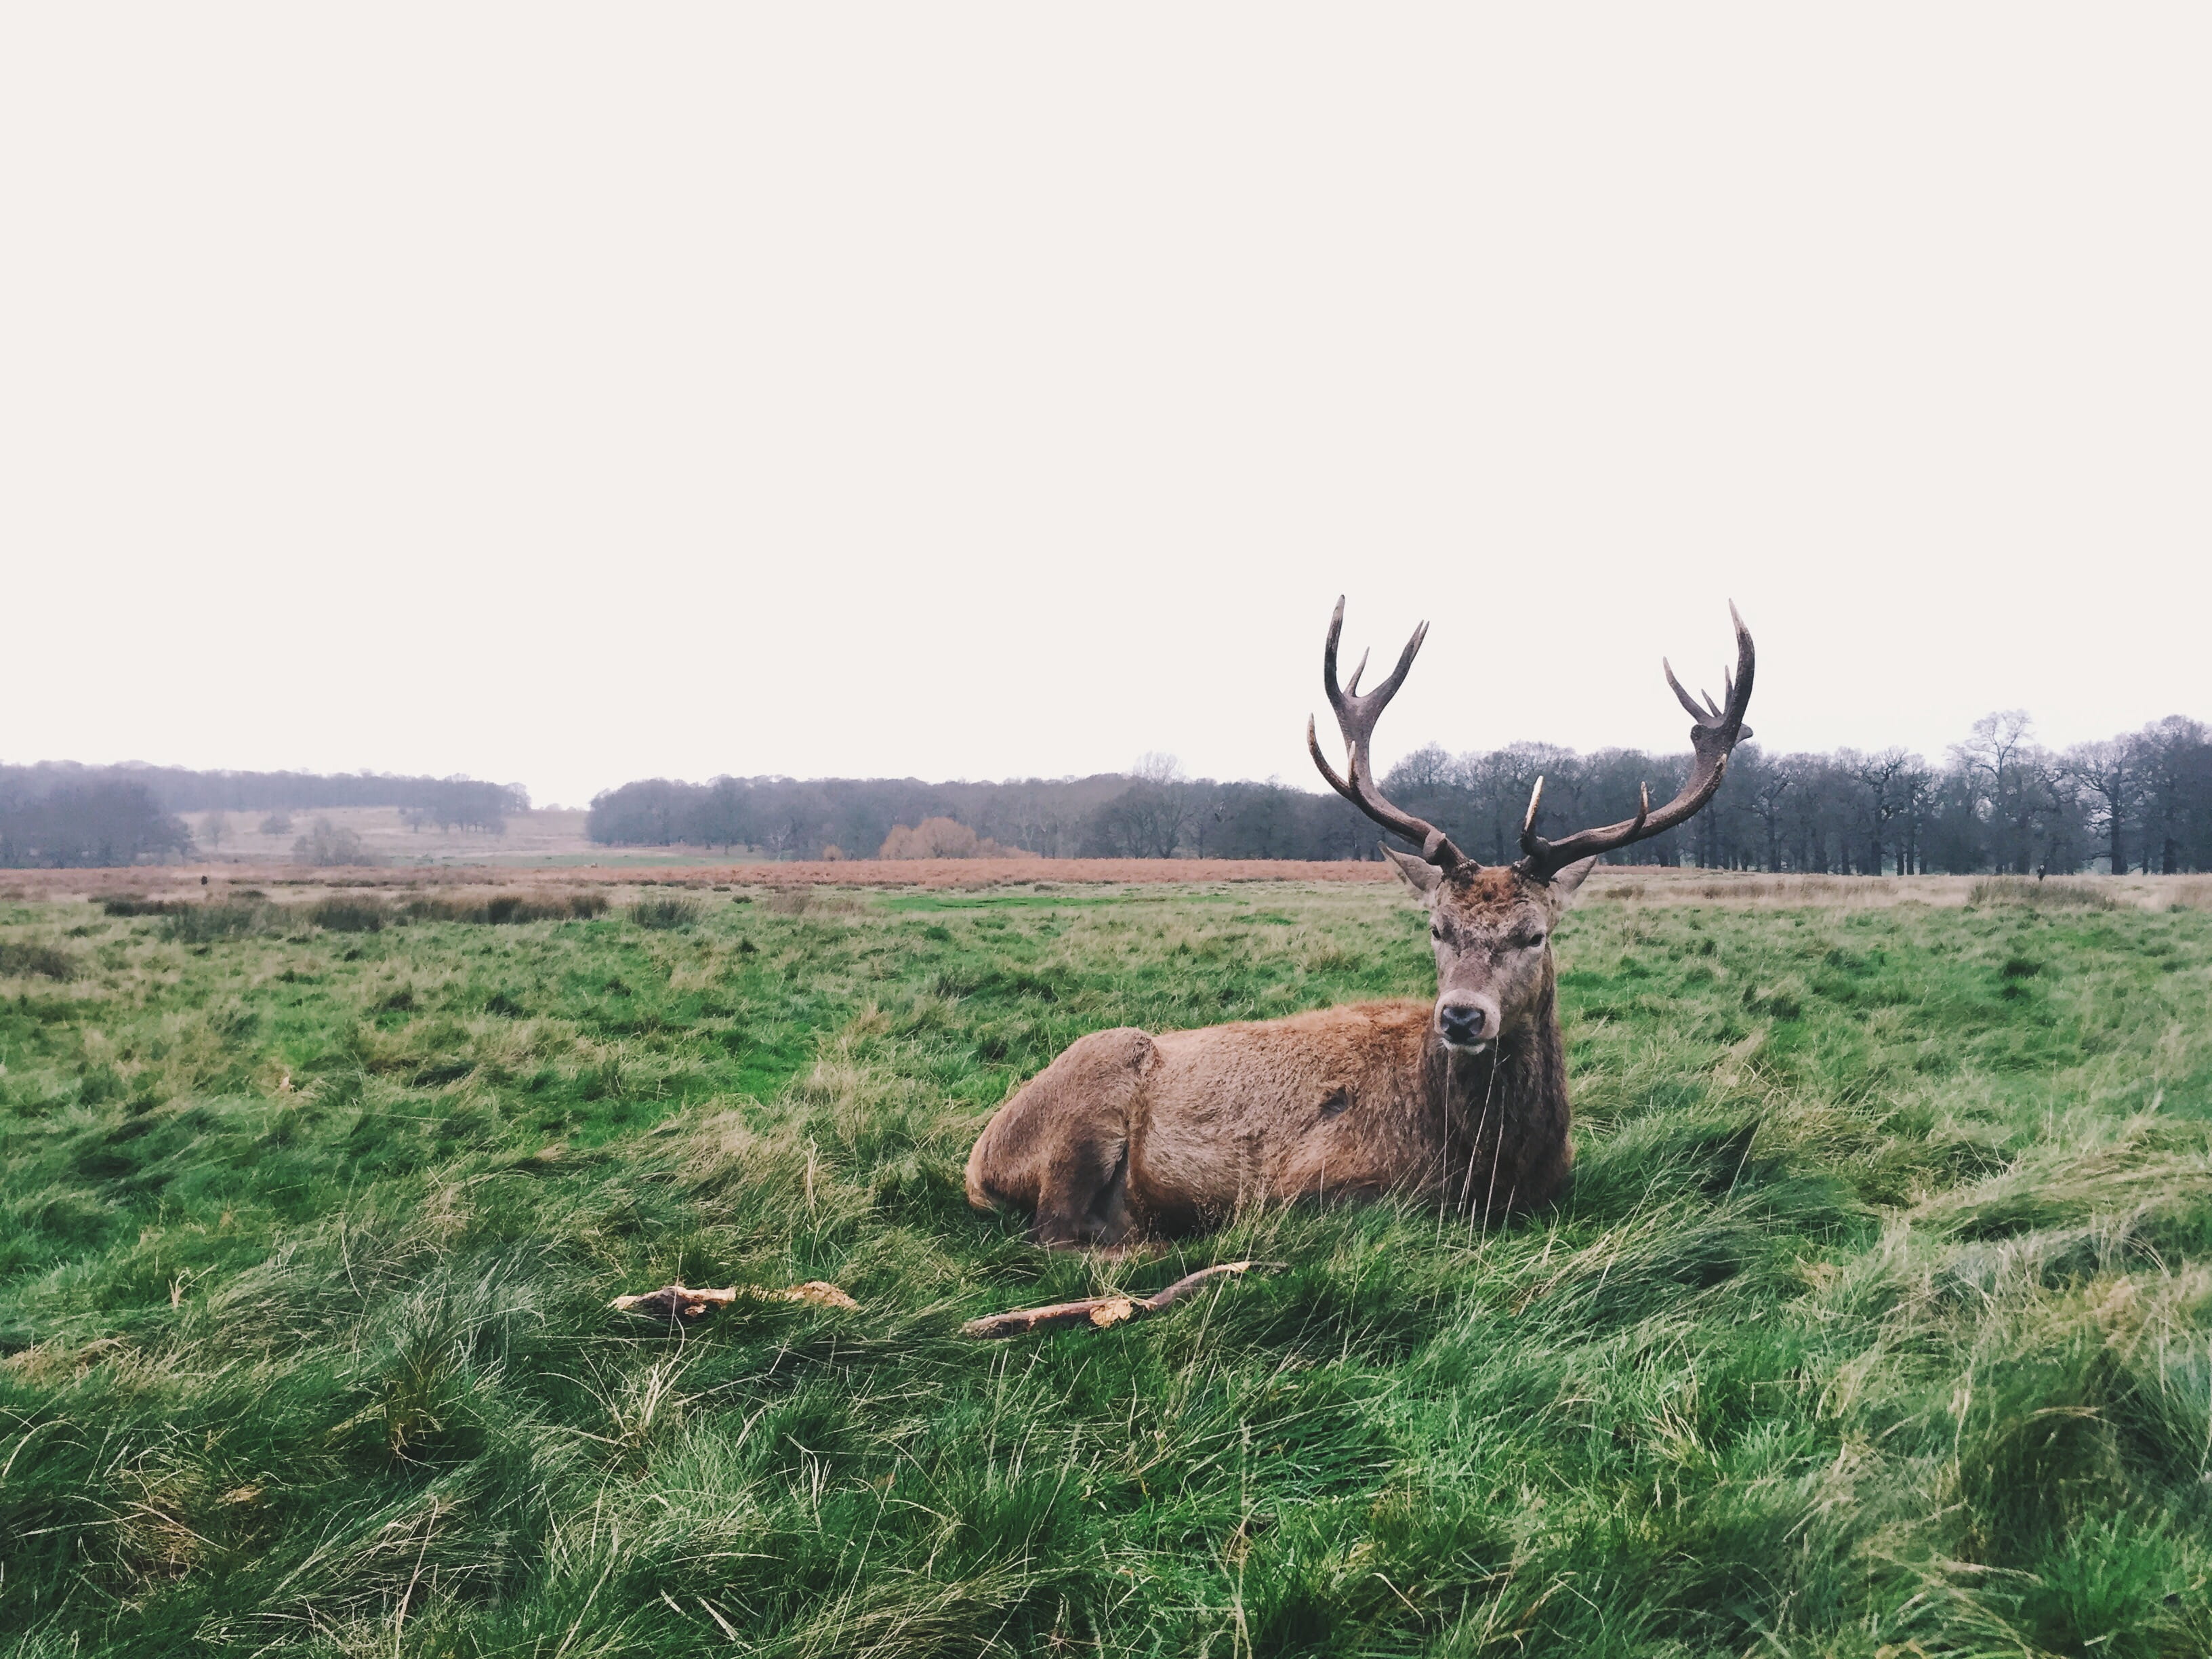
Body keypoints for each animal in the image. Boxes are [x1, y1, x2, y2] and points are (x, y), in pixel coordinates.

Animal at [964, 599, 1755, 1249]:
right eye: (1436, 926)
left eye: (1536, 934)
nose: (1462, 1017)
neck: (1488, 1168)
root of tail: (981, 1154)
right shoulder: (1310, 1186)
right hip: (1088, 1101)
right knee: (1057, 1232)